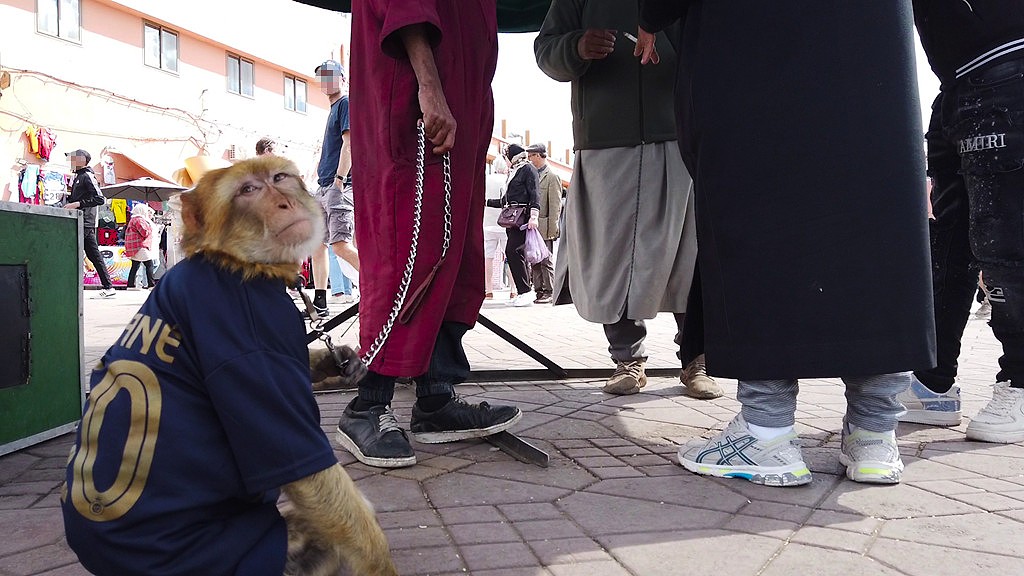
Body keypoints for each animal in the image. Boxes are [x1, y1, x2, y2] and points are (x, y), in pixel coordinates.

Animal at [61, 155, 397, 576]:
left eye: (279, 178)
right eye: (248, 190)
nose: (285, 203)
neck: (239, 264)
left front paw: (336, 360)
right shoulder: (248, 337)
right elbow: (306, 473)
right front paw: (378, 563)